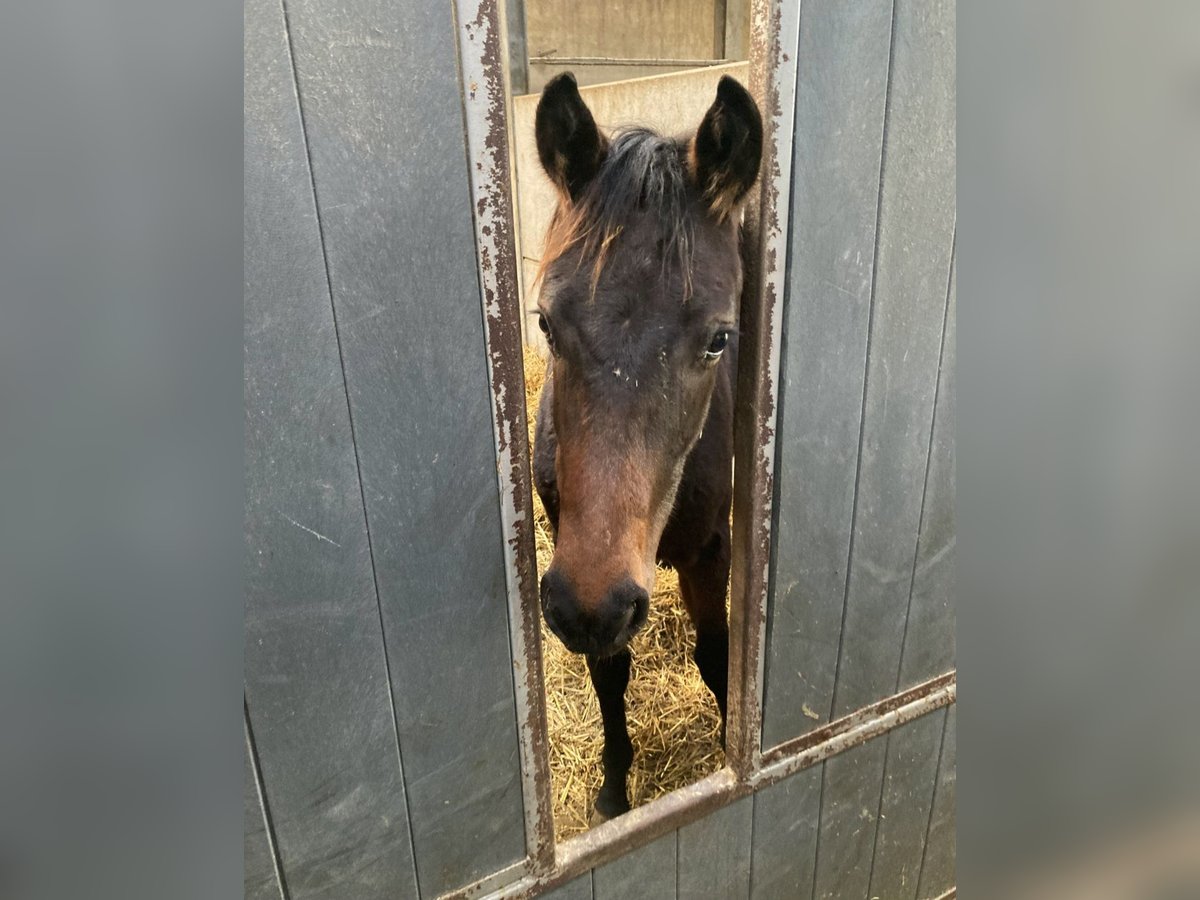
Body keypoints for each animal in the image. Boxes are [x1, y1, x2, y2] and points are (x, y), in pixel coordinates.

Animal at [532, 74, 763, 820]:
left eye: (719, 338)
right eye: (544, 323)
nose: (591, 604)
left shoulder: (710, 552)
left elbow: (717, 657)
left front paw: (728, 751)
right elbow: (610, 674)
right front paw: (612, 790)